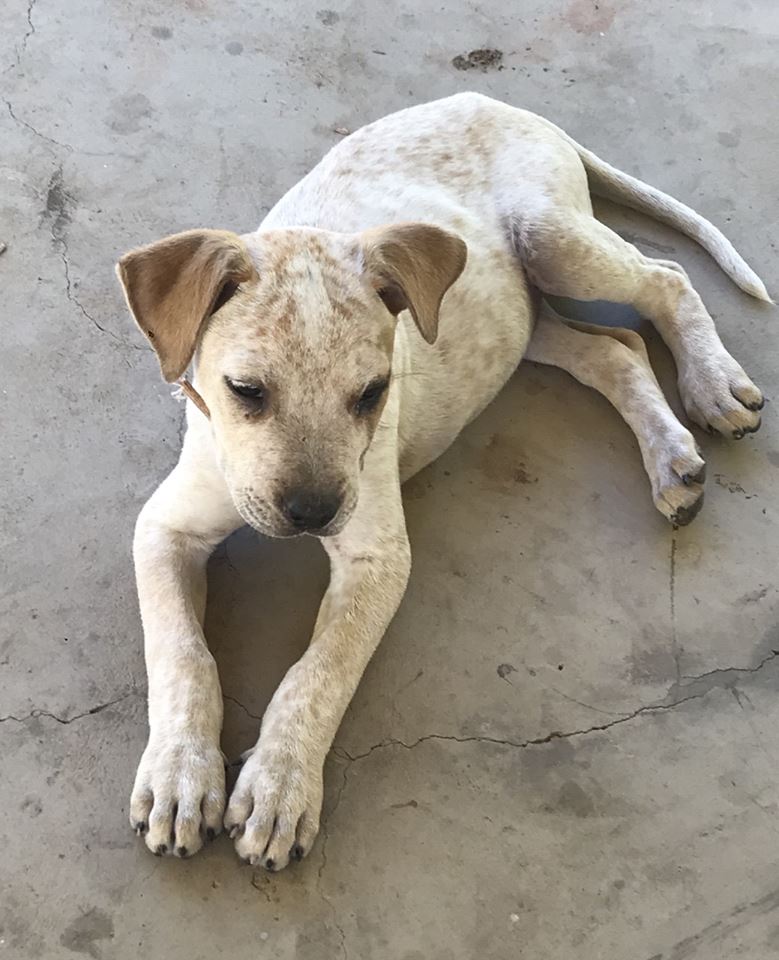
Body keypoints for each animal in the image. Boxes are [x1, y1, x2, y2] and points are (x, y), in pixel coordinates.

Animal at [116, 92, 768, 871]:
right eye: (245, 390)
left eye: (372, 393)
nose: (312, 513)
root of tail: (498, 103)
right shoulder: (164, 528)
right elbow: (182, 653)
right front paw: (181, 774)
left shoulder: (377, 557)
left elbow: (319, 672)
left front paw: (279, 785)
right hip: (523, 316)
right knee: (616, 349)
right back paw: (670, 452)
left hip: (552, 240)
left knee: (665, 279)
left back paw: (712, 382)